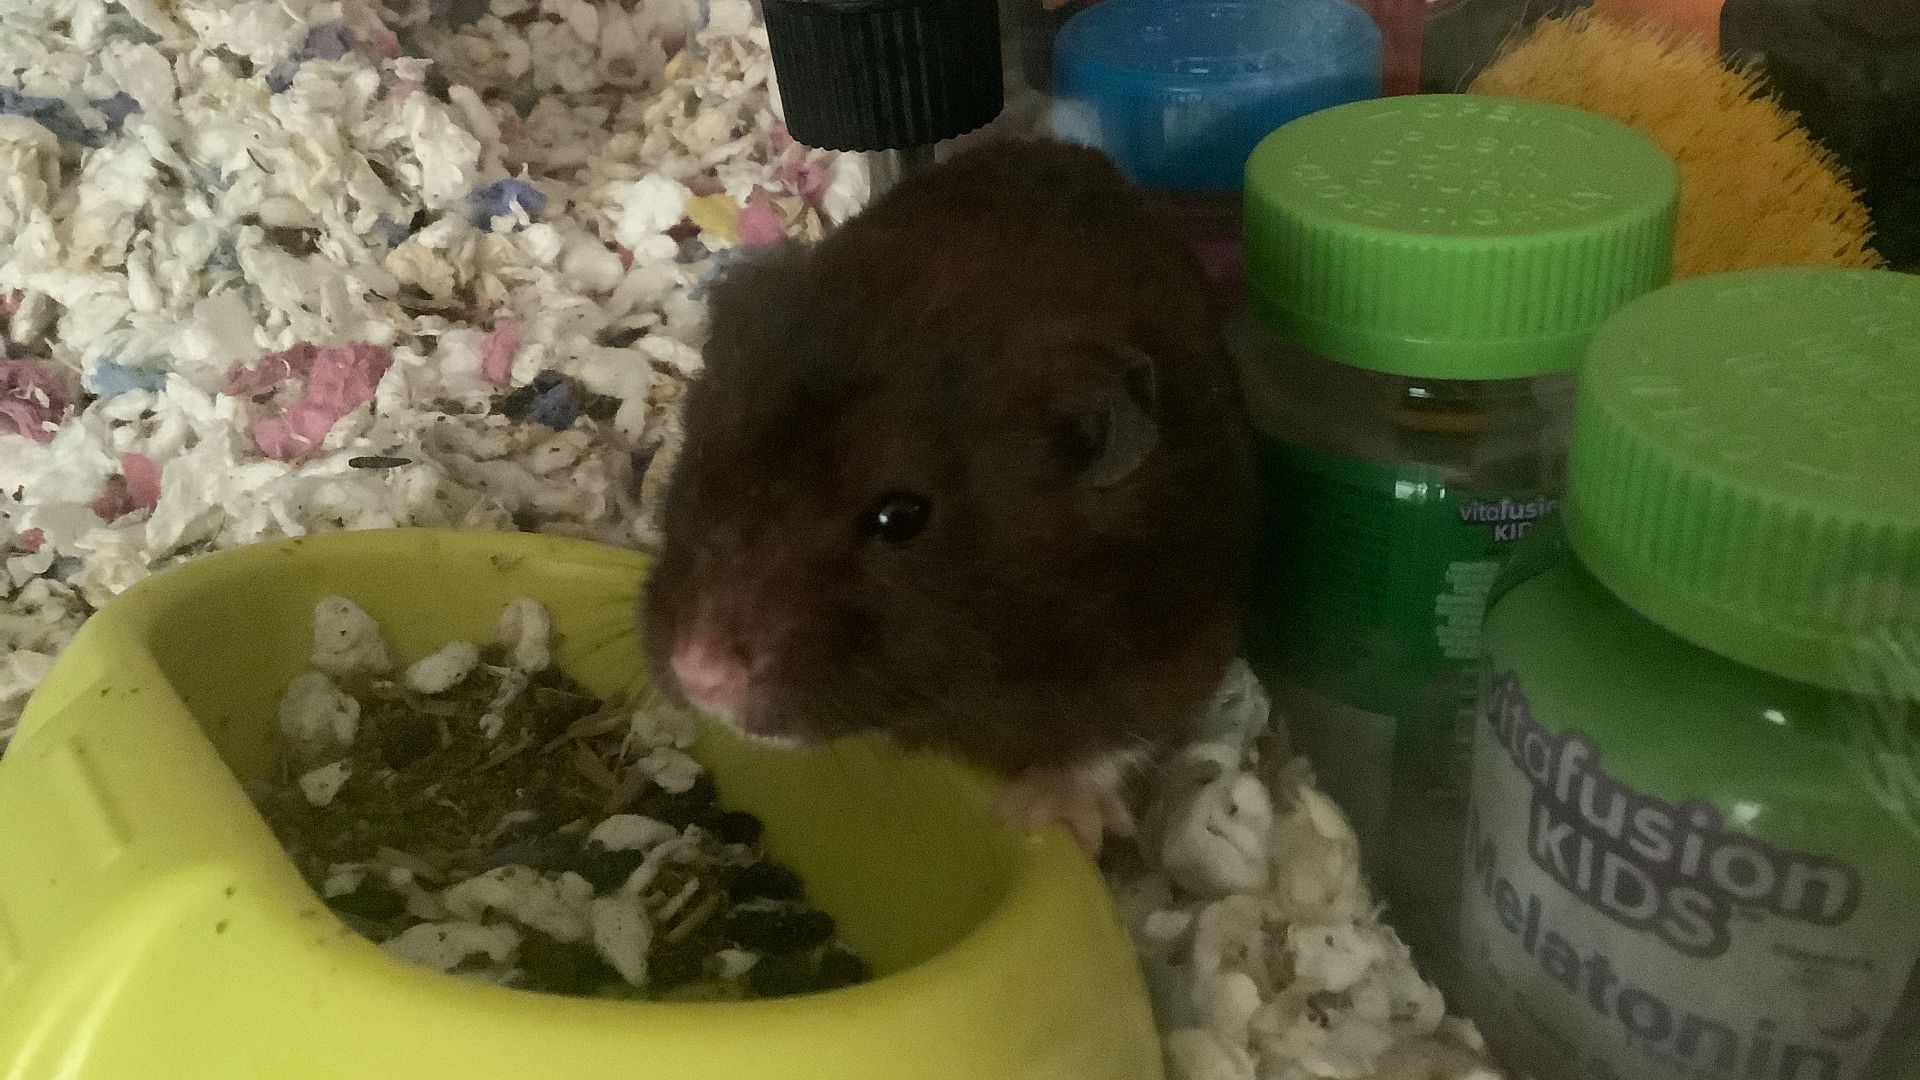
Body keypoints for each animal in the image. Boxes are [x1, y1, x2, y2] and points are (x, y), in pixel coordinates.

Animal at [640, 138, 1258, 856]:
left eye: (900, 518)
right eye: (699, 453)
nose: (699, 675)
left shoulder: (1174, 639)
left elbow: (1119, 736)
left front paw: (1036, 816)